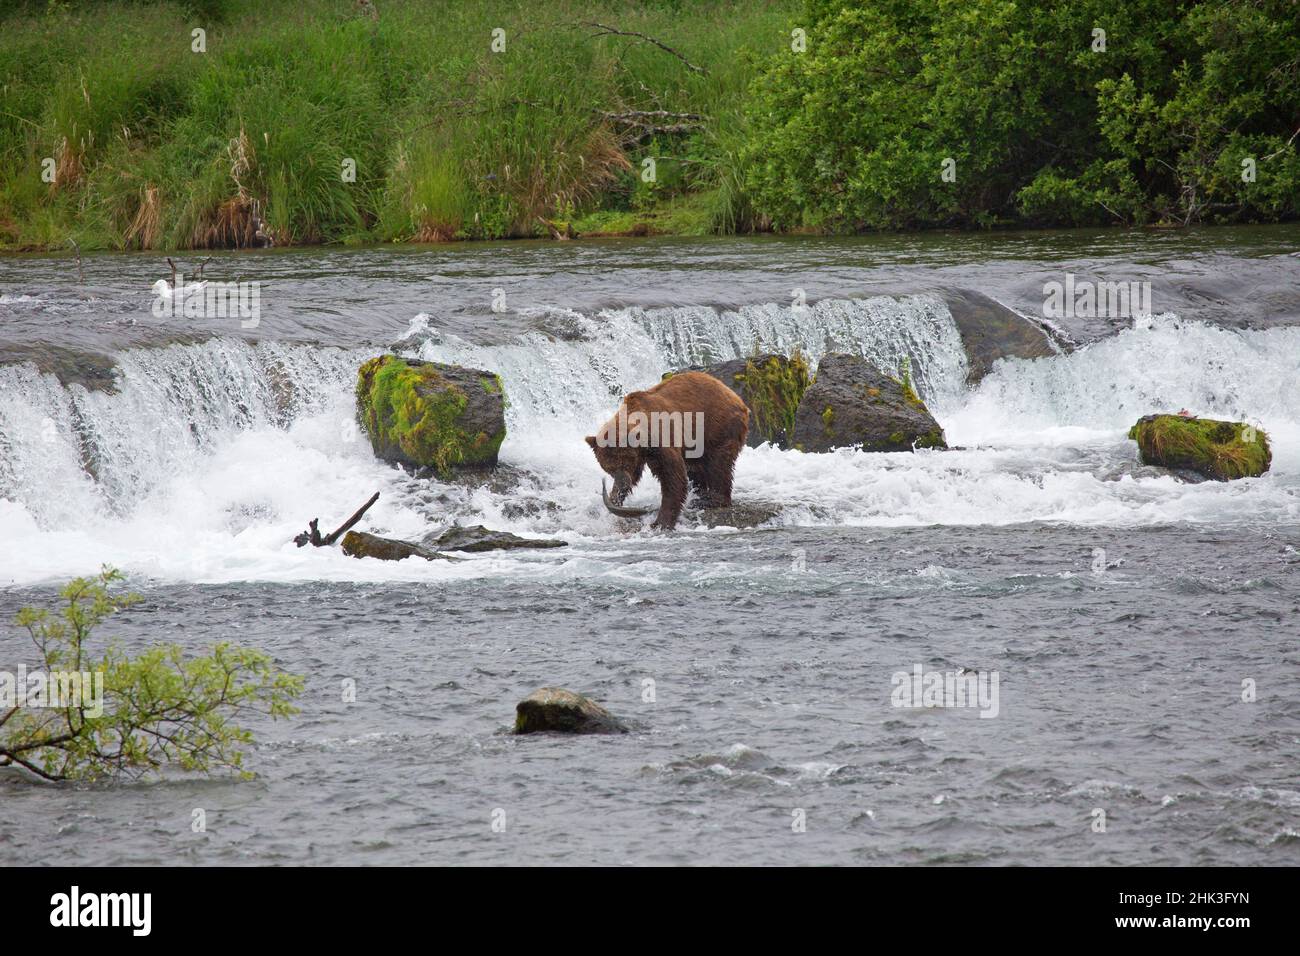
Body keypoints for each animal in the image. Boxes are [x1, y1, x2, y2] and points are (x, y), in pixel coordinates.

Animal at [585, 369, 748, 530]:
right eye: (609, 468)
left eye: (626, 461)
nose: (623, 483)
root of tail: (735, 396)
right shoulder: (643, 453)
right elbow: (640, 475)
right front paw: (614, 498)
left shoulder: (660, 439)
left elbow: (672, 476)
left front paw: (660, 522)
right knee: (696, 468)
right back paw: (700, 495)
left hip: (717, 427)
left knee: (718, 464)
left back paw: (712, 499)